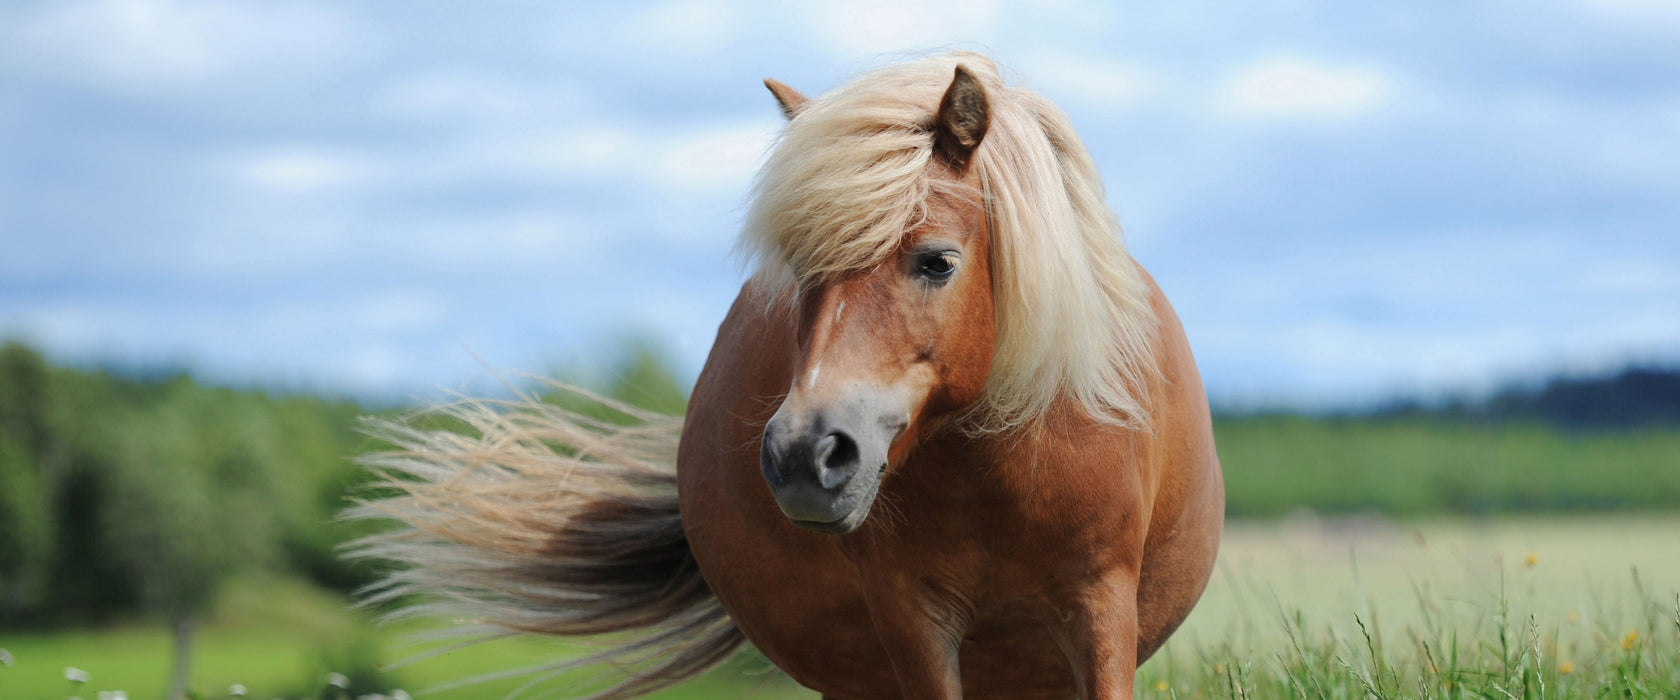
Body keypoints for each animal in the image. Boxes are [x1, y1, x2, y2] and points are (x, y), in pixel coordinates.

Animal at [354, 51, 1223, 694]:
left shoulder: (1099, 609)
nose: (808, 455)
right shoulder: (915, 622)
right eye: (801, 274)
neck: (1002, 471)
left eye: (936, 262)